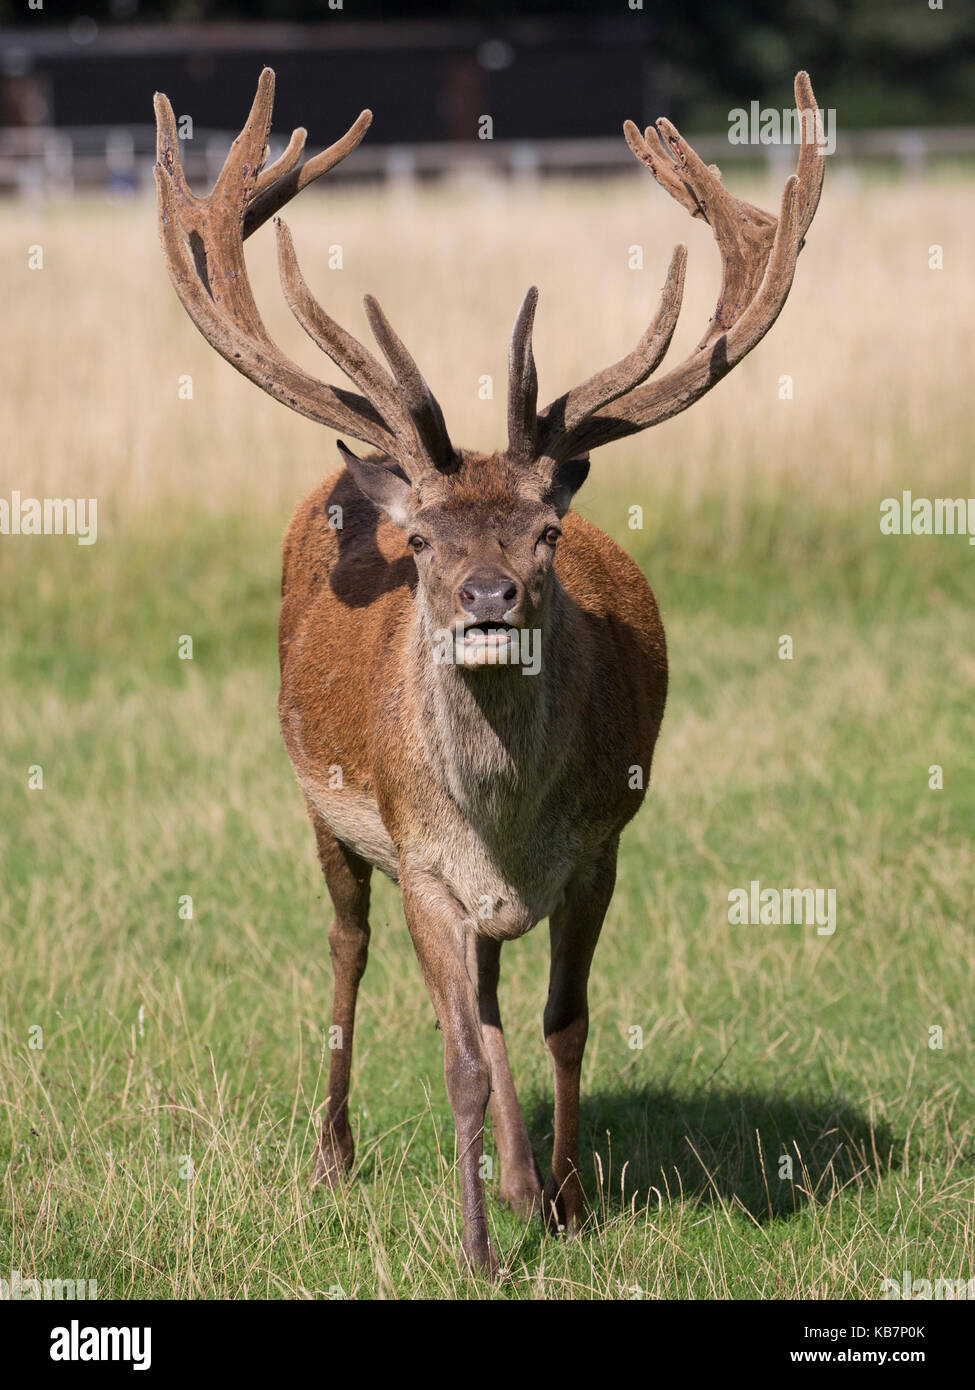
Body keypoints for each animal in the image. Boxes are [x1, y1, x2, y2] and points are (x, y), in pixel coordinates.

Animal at [152, 70, 823, 1273]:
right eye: (421, 541)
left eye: (546, 534)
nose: (488, 600)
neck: (506, 815)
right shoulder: (421, 857)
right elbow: (456, 1055)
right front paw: (475, 1250)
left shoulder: (601, 844)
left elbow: (567, 1023)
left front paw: (564, 1204)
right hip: (326, 813)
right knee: (348, 950)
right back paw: (335, 1154)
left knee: (497, 984)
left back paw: (516, 1179)